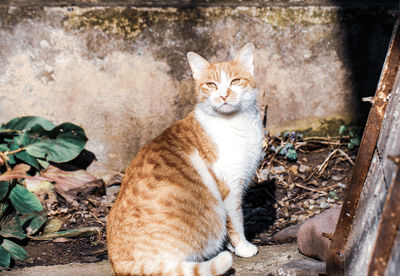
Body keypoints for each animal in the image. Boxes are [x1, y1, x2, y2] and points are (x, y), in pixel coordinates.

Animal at [106, 43, 264, 276]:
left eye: (235, 81)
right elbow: (235, 222)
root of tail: (116, 260)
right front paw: (242, 247)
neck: (236, 123)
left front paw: (230, 246)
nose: (224, 95)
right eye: (211, 85)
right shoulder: (230, 188)